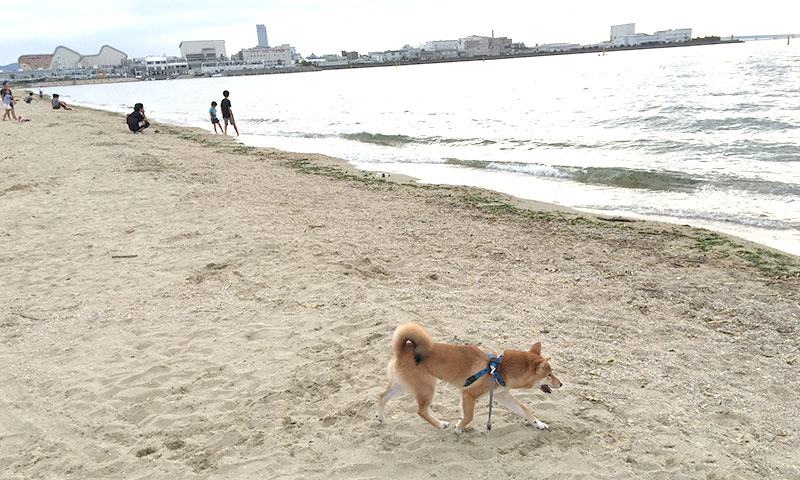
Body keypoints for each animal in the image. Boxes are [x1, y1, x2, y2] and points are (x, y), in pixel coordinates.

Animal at [376, 322, 560, 432]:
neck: (500, 368)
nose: (561, 384)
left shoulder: (502, 396)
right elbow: (469, 416)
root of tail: (402, 349)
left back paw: (381, 417)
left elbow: (524, 410)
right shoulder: (468, 394)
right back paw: (440, 424)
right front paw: (459, 427)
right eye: (549, 374)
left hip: (403, 385)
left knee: (382, 396)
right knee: (421, 411)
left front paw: (539, 423)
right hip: (426, 387)